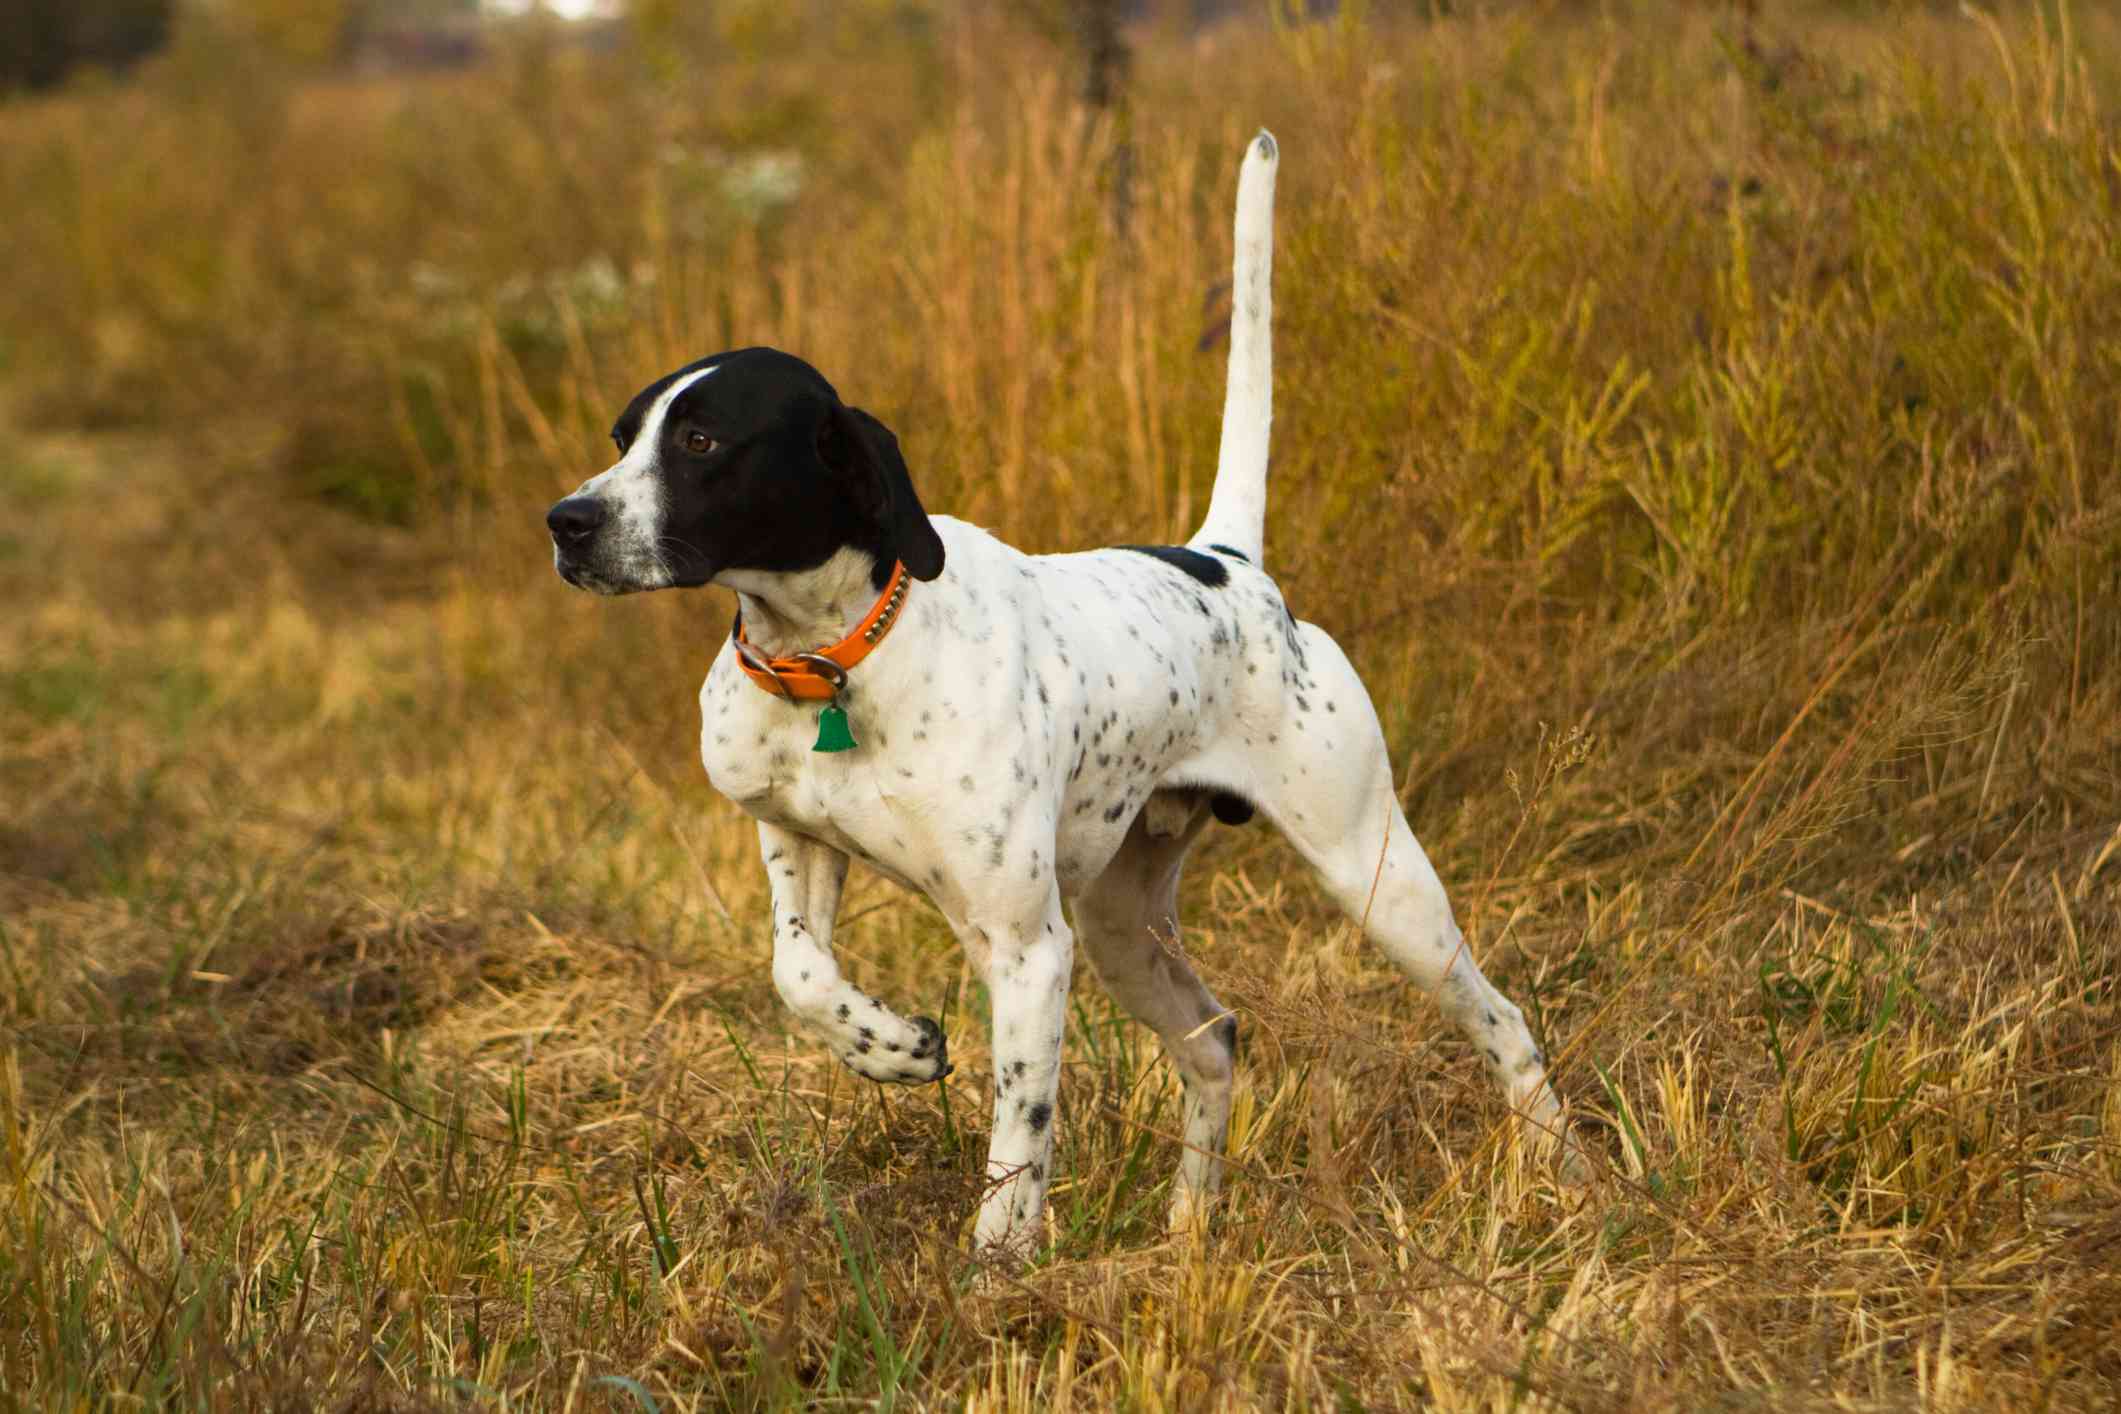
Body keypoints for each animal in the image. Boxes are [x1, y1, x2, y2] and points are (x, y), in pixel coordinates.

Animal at [547, 132, 1578, 1255]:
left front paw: (997, 1268)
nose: (567, 522)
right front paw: (890, 1047)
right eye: (621, 437)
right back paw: (1188, 1226)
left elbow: (1020, 1133)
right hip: (1124, 925)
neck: (837, 660)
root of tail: (1231, 563)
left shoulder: (1030, 950)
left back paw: (1556, 1178)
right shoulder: (799, 842)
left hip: (1377, 881)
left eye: (700, 443)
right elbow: (800, 973)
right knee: (1214, 1040)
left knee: (1502, 1023)